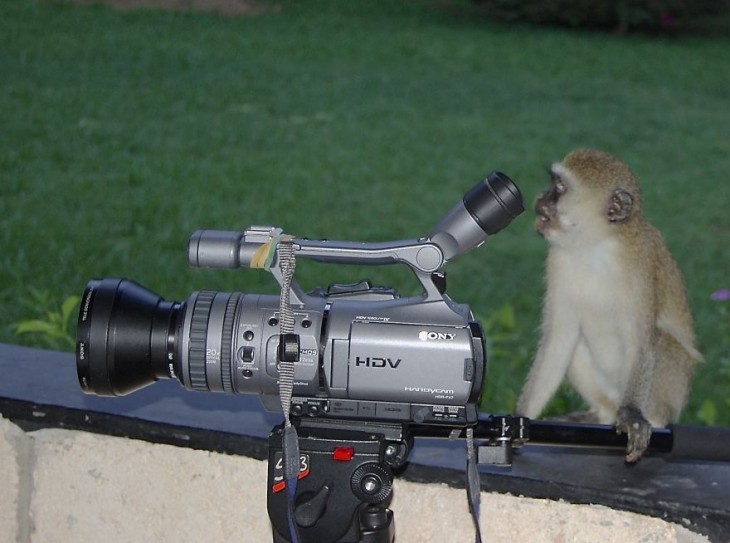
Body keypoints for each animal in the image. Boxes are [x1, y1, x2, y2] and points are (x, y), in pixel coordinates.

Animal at [516, 149, 704, 464]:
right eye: (552, 183)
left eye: (559, 188)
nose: (539, 198)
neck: (595, 245)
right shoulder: (557, 262)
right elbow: (558, 339)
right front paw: (519, 417)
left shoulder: (641, 264)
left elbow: (641, 340)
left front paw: (632, 416)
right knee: (575, 344)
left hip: (672, 391)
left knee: (663, 343)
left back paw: (648, 418)